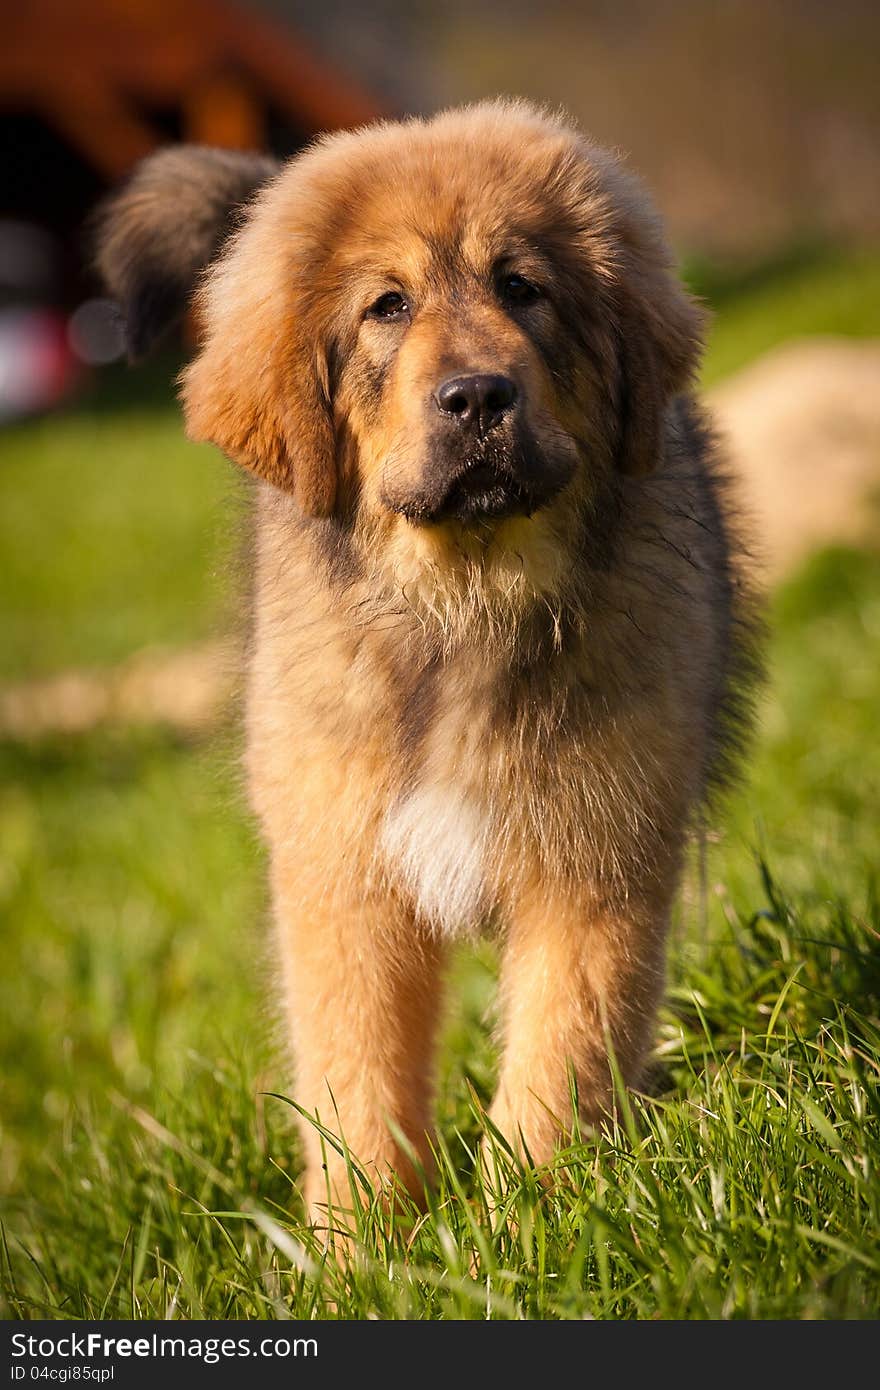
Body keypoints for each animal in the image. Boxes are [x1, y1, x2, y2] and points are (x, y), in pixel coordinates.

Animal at [94, 100, 756, 1217]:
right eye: (387, 307)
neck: (464, 607)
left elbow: (556, 1057)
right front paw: (363, 1243)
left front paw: (527, 1219)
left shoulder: (594, 857)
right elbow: (356, 1081)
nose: (477, 397)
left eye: (521, 286)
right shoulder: (344, 874)